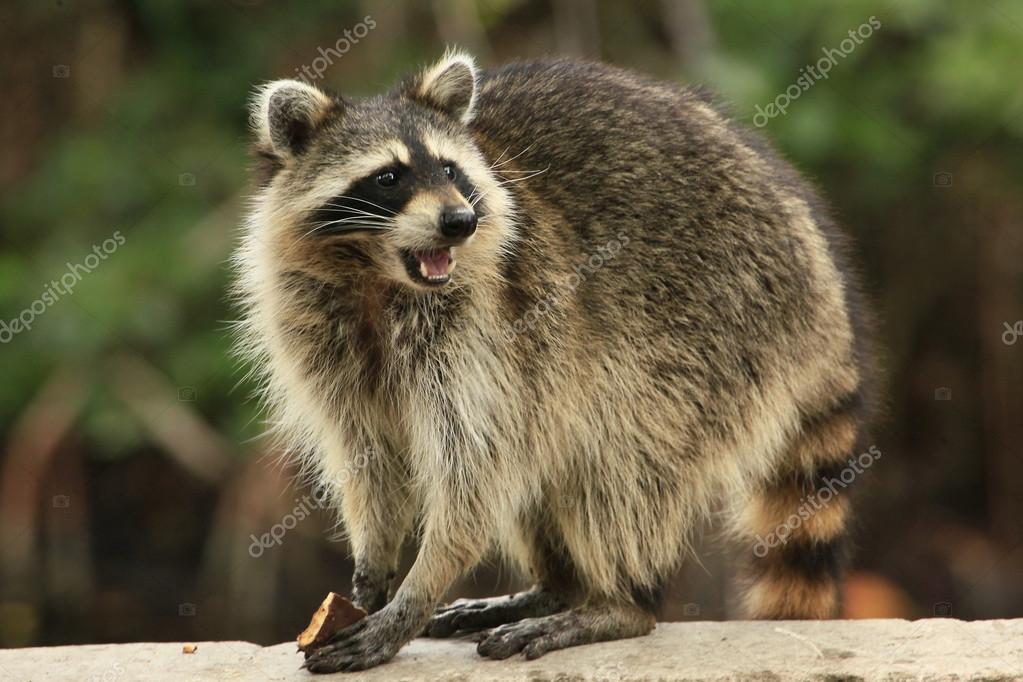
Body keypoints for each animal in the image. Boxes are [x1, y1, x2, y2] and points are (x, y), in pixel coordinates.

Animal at [237, 52, 871, 670]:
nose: (460, 222)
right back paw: (557, 588)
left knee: (621, 462)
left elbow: (474, 470)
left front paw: (417, 593)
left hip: (718, 322)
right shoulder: (320, 337)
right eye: (388, 177)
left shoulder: (485, 328)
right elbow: (367, 453)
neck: (375, 273)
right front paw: (373, 558)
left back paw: (619, 603)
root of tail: (816, 258)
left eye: (450, 171)